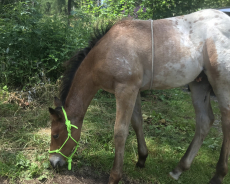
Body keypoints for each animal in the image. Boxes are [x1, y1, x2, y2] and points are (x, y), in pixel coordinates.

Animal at [48, 9, 230, 184]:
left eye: (55, 134)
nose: (53, 162)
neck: (106, 52)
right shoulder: (133, 90)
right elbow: (137, 122)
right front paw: (142, 158)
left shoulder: (125, 90)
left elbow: (120, 132)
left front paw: (115, 176)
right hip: (199, 83)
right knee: (205, 121)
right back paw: (179, 169)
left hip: (221, 83)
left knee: (225, 122)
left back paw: (218, 175)